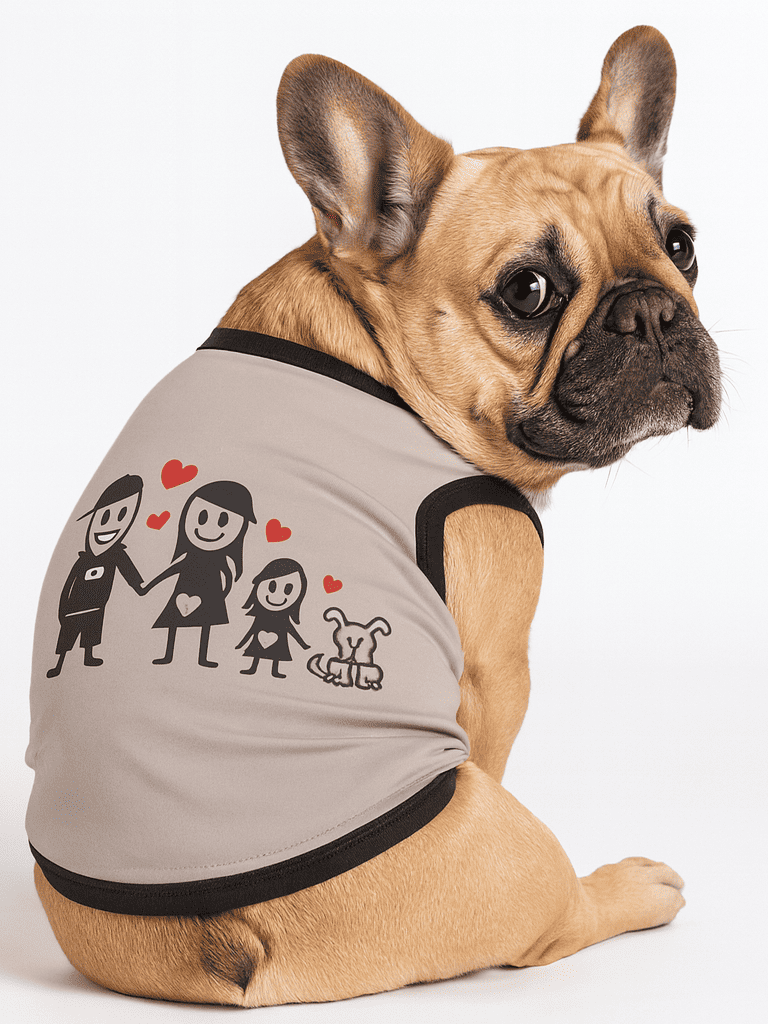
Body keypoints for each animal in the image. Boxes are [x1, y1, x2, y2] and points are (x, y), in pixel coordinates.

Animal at [27, 25, 721, 1006]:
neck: (374, 348)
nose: (654, 308)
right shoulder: (497, 663)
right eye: (529, 291)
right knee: (547, 924)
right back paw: (627, 888)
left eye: (683, 244)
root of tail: (221, 932)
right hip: (506, 841)